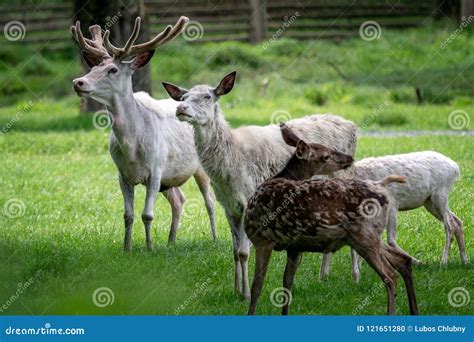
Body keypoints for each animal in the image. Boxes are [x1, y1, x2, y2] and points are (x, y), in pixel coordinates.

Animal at [70, 16, 217, 251]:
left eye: (113, 70)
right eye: (94, 67)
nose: (78, 82)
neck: (132, 148)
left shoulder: (156, 168)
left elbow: (147, 214)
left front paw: (149, 248)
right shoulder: (122, 174)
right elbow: (128, 216)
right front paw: (127, 248)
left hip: (199, 167)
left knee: (209, 200)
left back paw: (214, 238)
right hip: (170, 178)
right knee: (179, 199)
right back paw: (171, 241)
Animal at [244, 123, 418, 316]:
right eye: (326, 155)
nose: (349, 158)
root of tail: (381, 186)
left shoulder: (262, 239)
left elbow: (257, 287)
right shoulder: (294, 247)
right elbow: (286, 285)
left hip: (364, 236)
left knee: (390, 276)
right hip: (367, 236)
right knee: (403, 261)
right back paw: (414, 310)